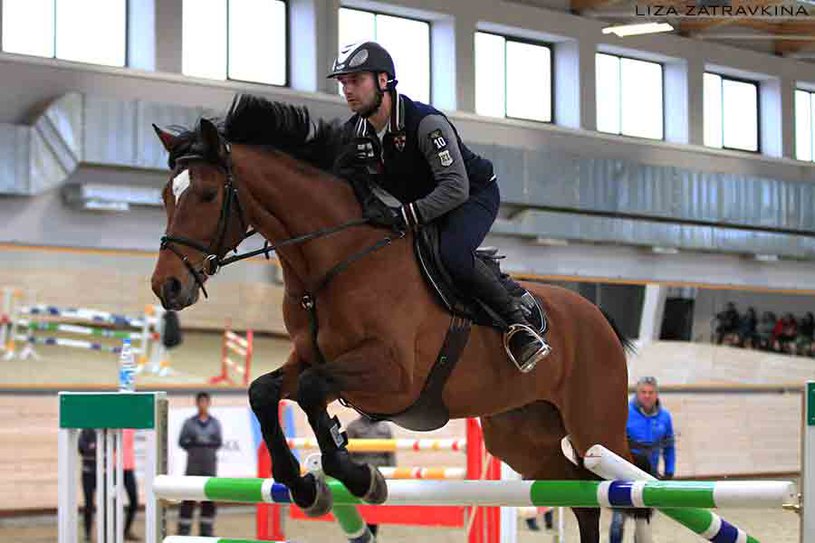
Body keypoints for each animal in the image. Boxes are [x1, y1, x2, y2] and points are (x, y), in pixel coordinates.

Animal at [150, 95, 636, 540]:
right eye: (165, 196)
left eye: (209, 194)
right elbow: (264, 392)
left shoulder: (393, 375)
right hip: (521, 435)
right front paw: (307, 488)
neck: (336, 260)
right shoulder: (311, 359)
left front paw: (362, 478)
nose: (166, 286)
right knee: (580, 496)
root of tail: (598, 317)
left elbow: (311, 390)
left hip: (595, 428)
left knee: (616, 489)